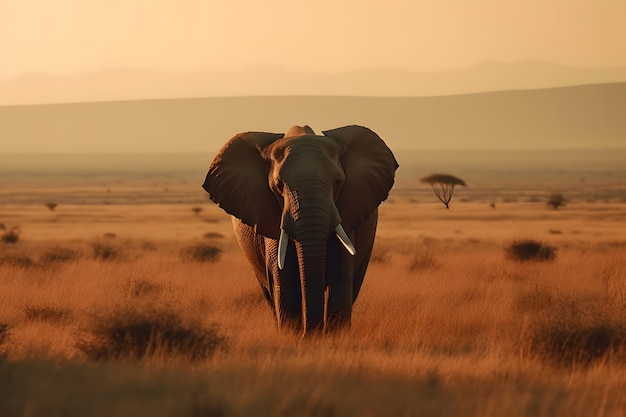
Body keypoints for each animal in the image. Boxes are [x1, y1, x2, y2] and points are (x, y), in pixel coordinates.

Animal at [202, 125, 398, 336]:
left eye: (338, 182)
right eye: (278, 186)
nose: (311, 333)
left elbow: (340, 279)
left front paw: (331, 337)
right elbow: (284, 280)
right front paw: (294, 336)